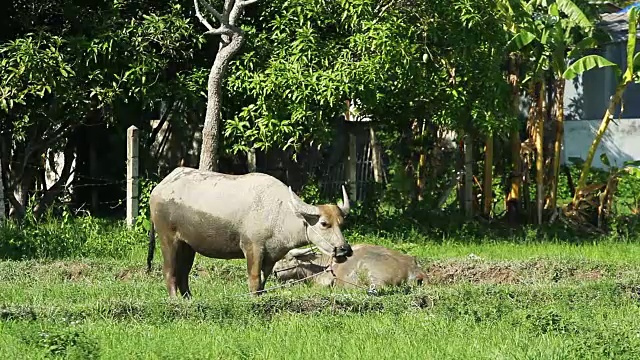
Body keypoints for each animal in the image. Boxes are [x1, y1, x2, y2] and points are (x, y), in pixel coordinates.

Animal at [146, 167, 356, 298]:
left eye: (341, 223)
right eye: (324, 223)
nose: (344, 250)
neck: (278, 213)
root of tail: (159, 188)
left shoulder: (271, 256)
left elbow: (262, 282)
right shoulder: (252, 248)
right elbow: (254, 281)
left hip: (188, 245)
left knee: (183, 273)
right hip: (168, 239)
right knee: (170, 271)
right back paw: (175, 300)